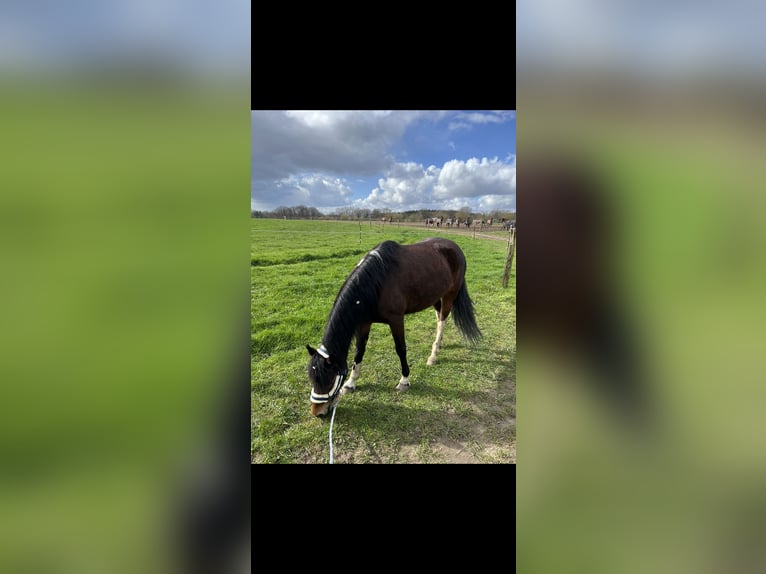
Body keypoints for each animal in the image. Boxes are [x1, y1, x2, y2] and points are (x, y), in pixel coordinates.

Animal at [304, 238, 480, 418]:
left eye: (329, 379)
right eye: (312, 378)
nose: (317, 412)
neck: (377, 281)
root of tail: (455, 247)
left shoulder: (396, 319)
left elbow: (400, 349)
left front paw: (404, 381)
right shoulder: (364, 322)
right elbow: (359, 351)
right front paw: (350, 383)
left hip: (450, 294)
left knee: (442, 320)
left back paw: (433, 355)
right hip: (435, 296)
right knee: (439, 318)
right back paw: (438, 346)